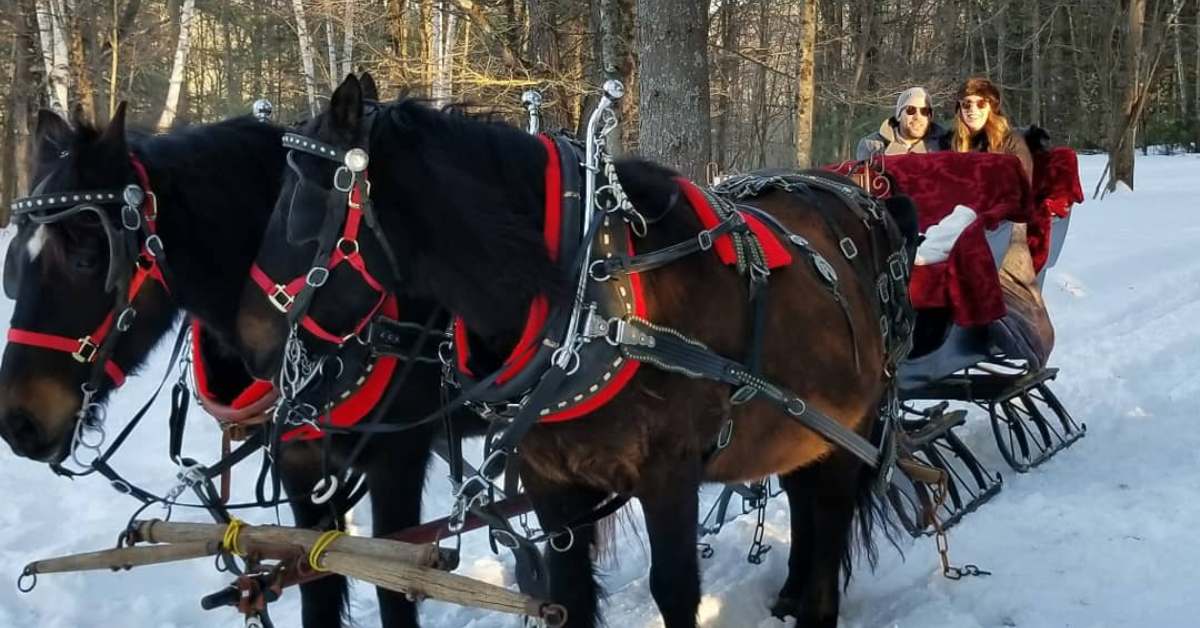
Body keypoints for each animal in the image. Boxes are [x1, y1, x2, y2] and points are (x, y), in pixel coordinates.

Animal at [0, 94, 446, 628]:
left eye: (87, 259)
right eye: (13, 267)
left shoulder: (399, 459)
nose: (17, 423)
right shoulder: (299, 466)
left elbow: (396, 589)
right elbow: (318, 584)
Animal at [236, 75, 916, 628]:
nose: (249, 346)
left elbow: (674, 590)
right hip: (802, 427)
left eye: (298, 208)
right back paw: (792, 594)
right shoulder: (552, 484)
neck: (590, 297)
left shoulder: (669, 475)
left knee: (827, 513)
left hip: (850, 426)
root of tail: (859, 199)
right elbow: (568, 595)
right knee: (803, 499)